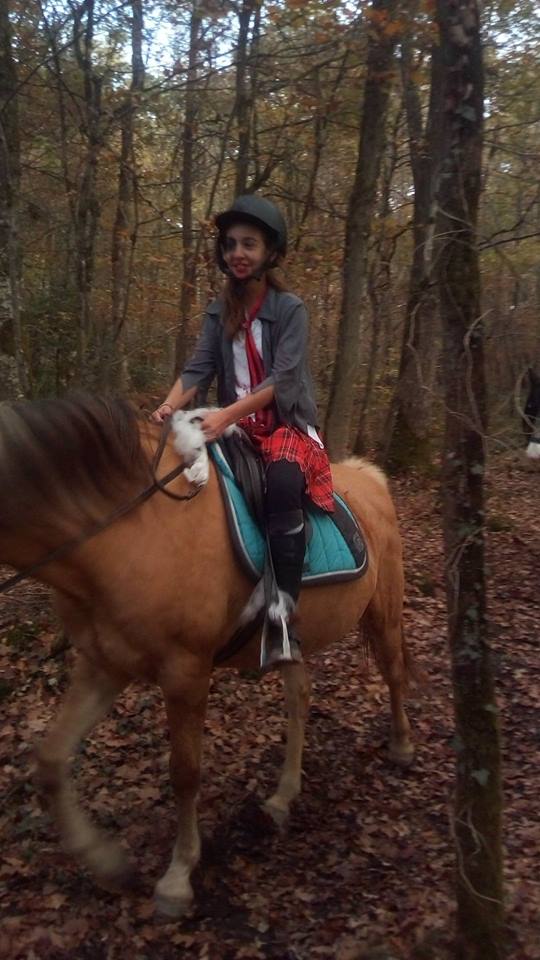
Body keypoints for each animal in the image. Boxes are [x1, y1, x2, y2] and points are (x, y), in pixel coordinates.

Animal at [0, 393, 415, 918]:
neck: (125, 528)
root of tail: (370, 478)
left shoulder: (186, 672)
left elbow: (185, 772)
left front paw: (177, 878)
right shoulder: (103, 664)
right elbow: (51, 760)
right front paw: (108, 862)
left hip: (384, 612)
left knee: (394, 672)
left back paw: (401, 746)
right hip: (292, 636)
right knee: (300, 697)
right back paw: (282, 796)